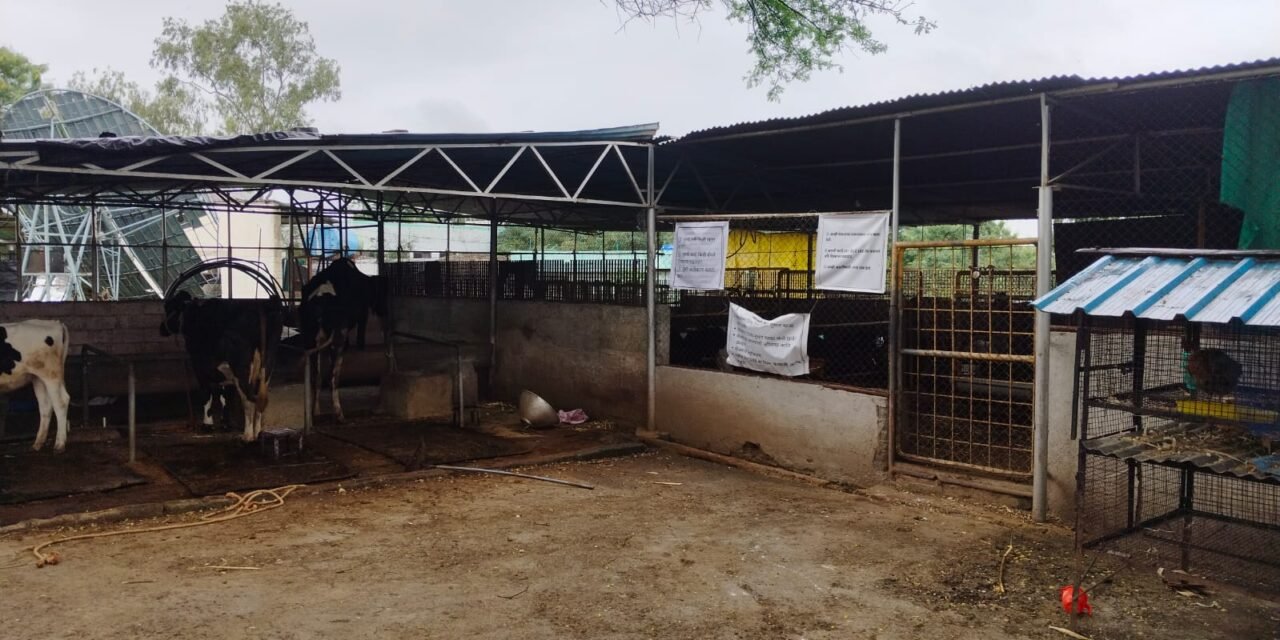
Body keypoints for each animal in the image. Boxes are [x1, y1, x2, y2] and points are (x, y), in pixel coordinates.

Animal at [0, 318, 71, 450]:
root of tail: (55, 323)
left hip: (50, 375)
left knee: (61, 403)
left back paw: (59, 444)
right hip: (38, 378)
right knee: (45, 406)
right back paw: (38, 443)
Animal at [160, 293, 282, 442]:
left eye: (169, 308)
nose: (162, 328)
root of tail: (262, 306)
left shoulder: (199, 367)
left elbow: (206, 394)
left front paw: (207, 424)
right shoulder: (225, 371)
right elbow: (225, 396)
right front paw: (225, 424)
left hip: (241, 369)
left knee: (249, 400)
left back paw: (247, 436)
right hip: (267, 366)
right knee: (259, 398)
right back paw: (258, 433)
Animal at [302, 257, 386, 422]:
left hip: (311, 339)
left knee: (317, 377)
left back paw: (316, 412)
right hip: (337, 338)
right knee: (332, 378)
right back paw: (339, 414)